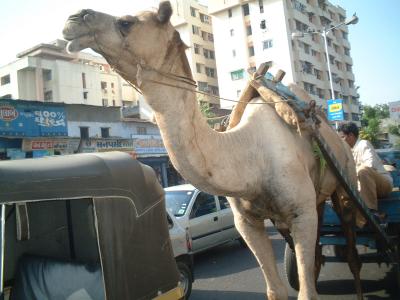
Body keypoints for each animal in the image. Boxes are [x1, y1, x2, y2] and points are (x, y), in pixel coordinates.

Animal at [61, 1, 362, 298]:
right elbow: (275, 290)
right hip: (315, 199)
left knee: (351, 241)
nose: (74, 18)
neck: (250, 155)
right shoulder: (246, 222)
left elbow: (307, 292)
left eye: (126, 22)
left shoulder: (301, 212)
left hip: (345, 182)